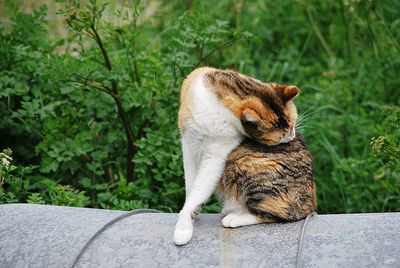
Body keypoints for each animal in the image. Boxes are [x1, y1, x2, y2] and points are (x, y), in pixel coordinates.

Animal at [175, 66, 316, 245]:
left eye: (292, 125)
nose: (292, 136)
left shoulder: (216, 156)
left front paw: (182, 229)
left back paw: (234, 218)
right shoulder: (189, 145)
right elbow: (191, 187)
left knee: (282, 214)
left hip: (244, 162)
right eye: (282, 135)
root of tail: (310, 205)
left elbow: (199, 189)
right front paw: (190, 218)